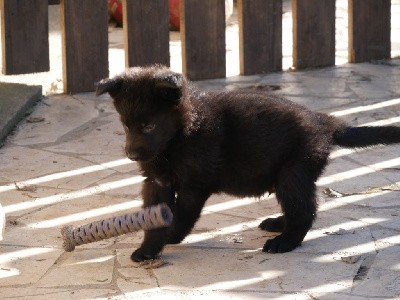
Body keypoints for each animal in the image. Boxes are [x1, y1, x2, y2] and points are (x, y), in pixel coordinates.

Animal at [96, 65, 400, 262]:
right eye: (126, 125)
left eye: (148, 125)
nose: (131, 154)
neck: (181, 134)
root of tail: (325, 123)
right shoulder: (157, 181)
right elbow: (154, 217)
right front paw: (149, 248)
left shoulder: (194, 185)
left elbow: (181, 214)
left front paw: (171, 235)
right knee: (299, 207)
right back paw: (279, 224)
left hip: (293, 172)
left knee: (304, 211)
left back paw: (285, 241)